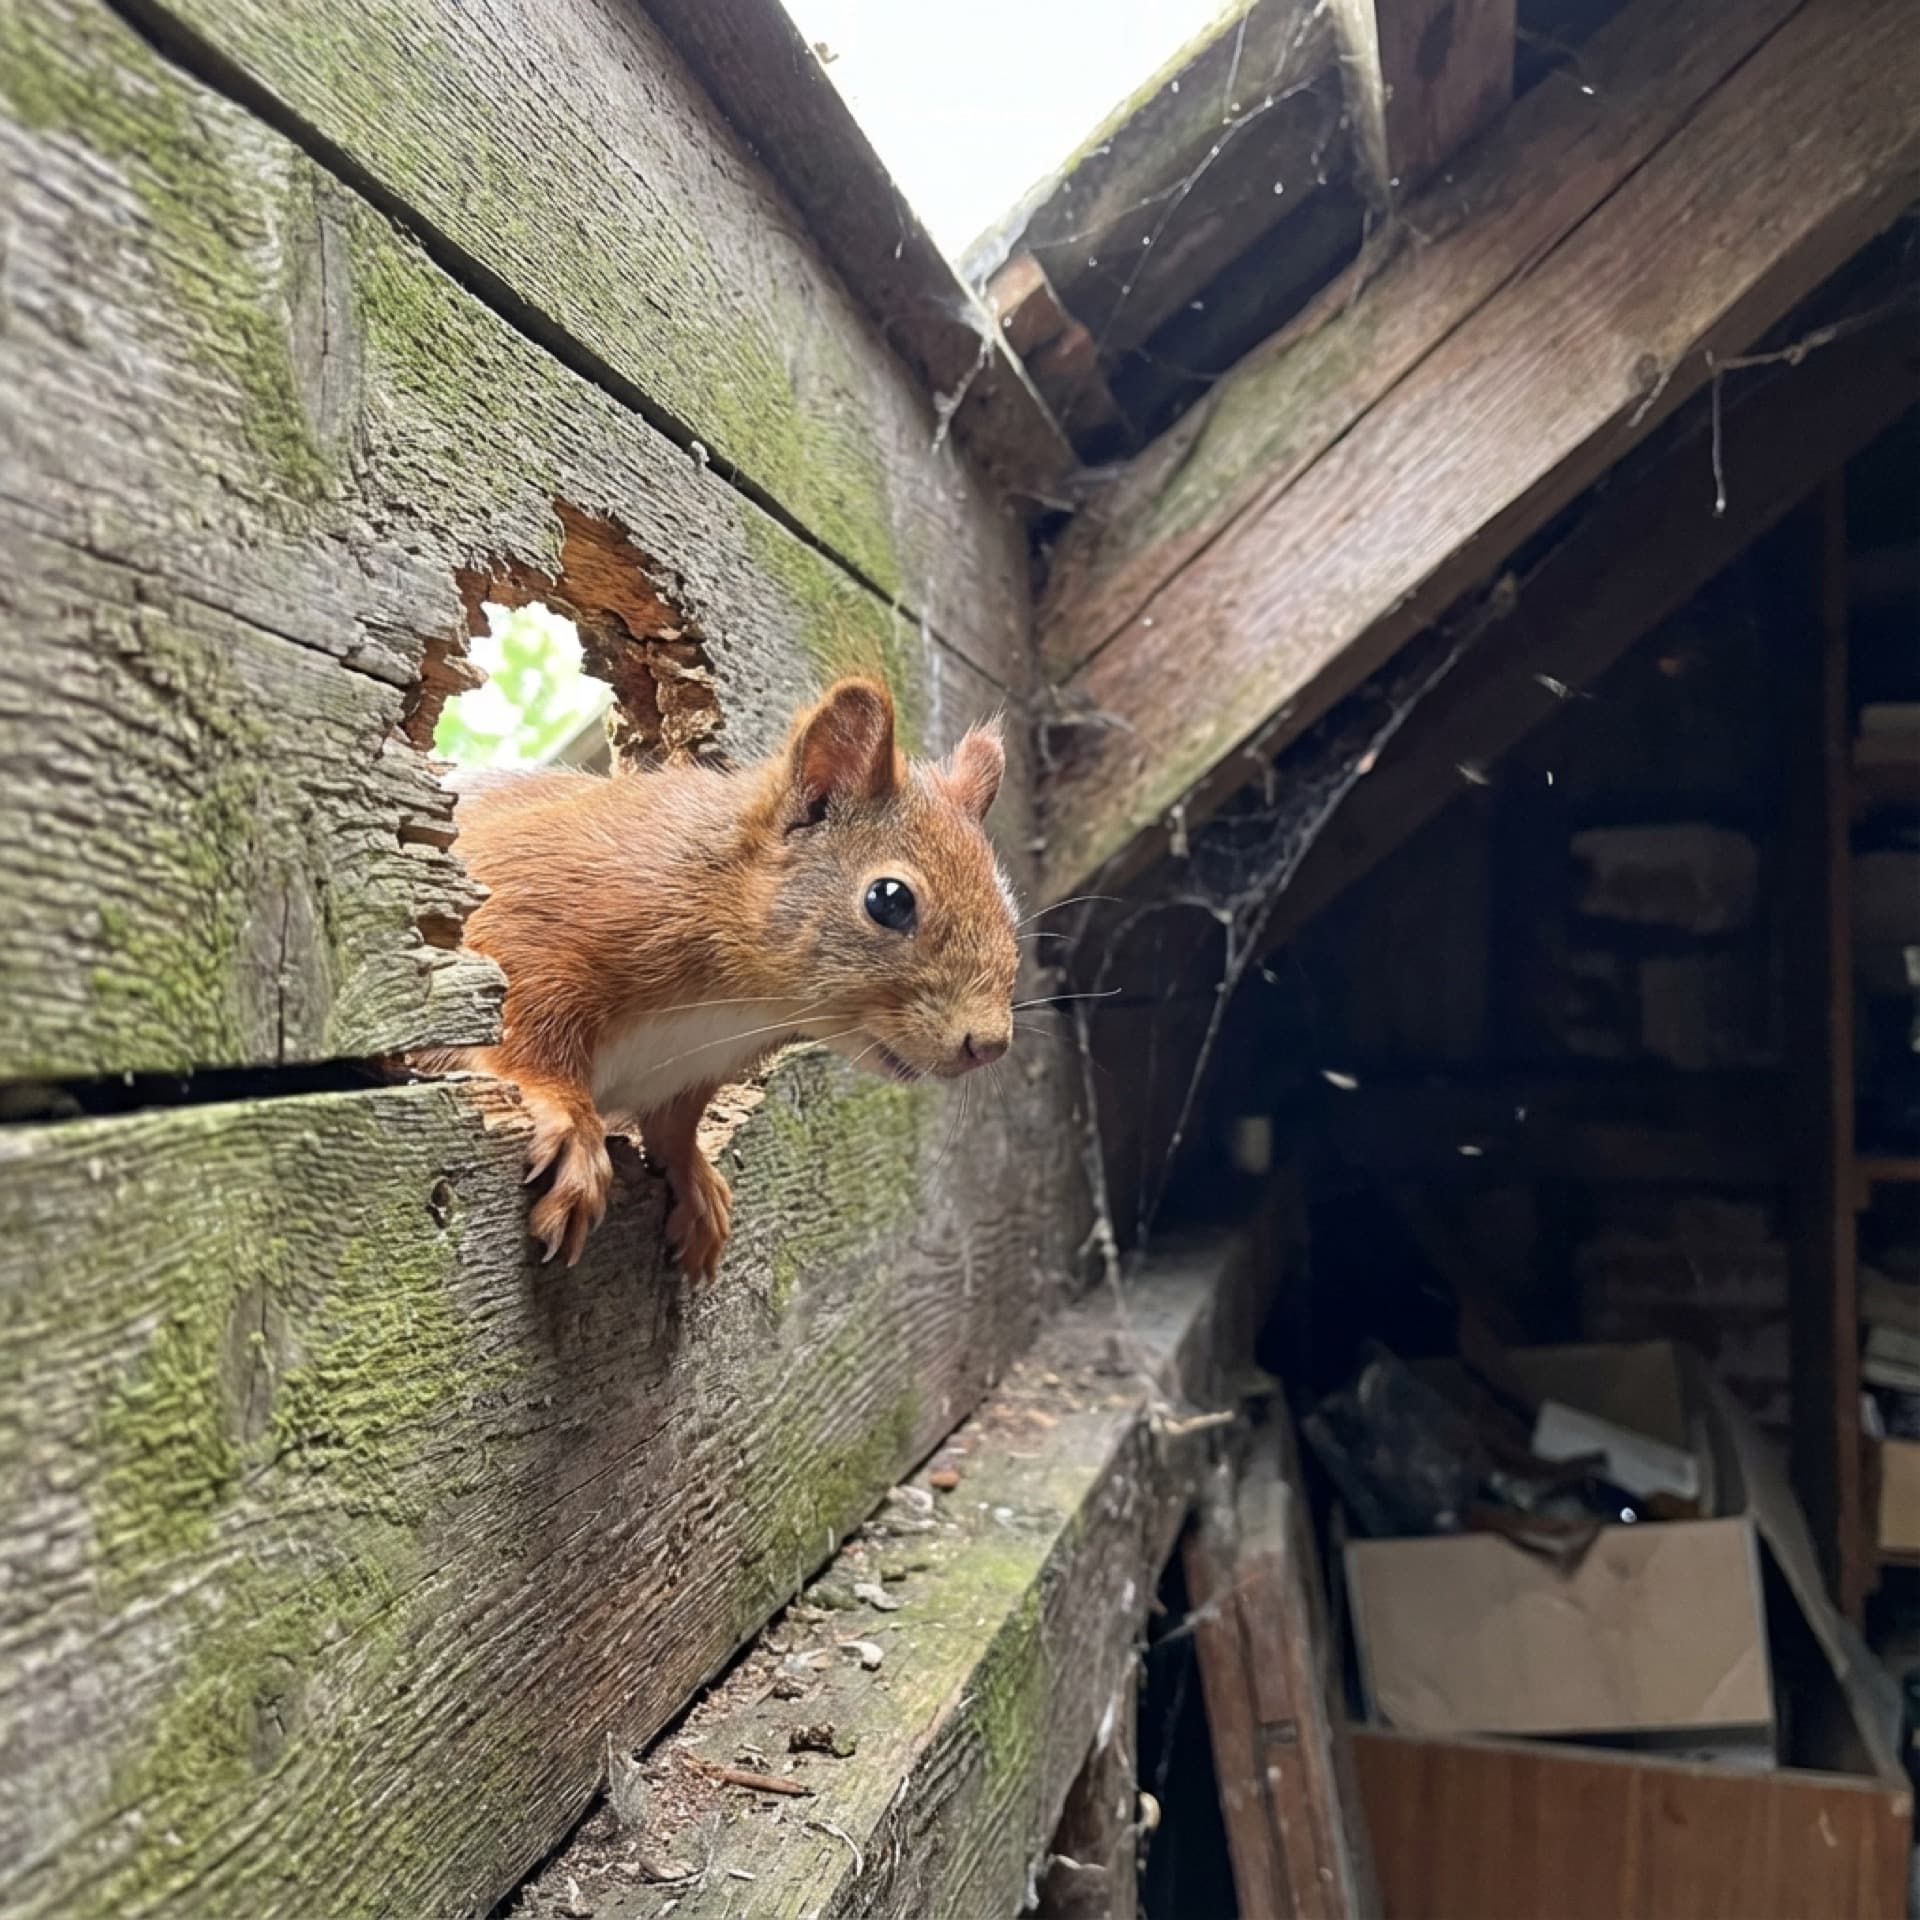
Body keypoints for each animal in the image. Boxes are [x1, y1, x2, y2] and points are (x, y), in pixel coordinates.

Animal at [424, 677, 1018, 1279]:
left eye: (1010, 911)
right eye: (889, 900)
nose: (989, 1044)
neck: (737, 1006)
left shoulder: (689, 1071)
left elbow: (674, 1127)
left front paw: (694, 1180)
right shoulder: (531, 910)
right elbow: (525, 1029)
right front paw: (570, 1123)